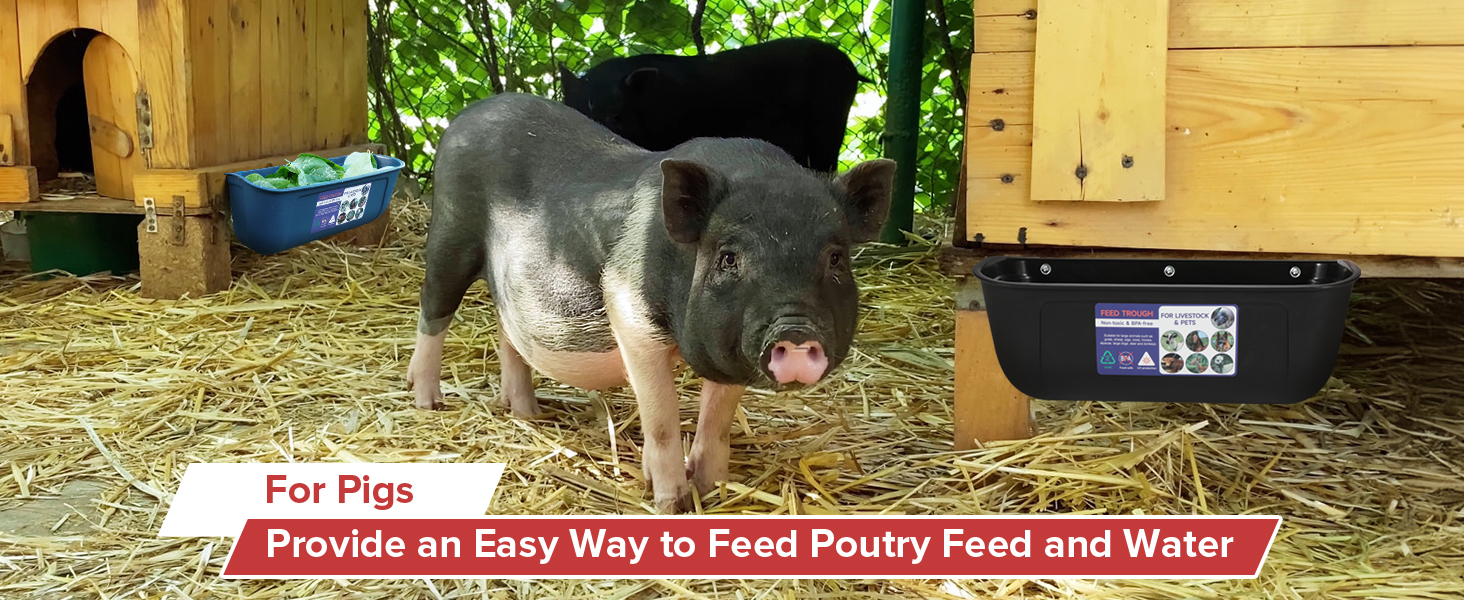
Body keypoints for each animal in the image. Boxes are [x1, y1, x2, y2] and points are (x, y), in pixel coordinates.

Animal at [406, 93, 894, 513]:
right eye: (729, 257)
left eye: (836, 258)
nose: (794, 331)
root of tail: (466, 117)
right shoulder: (628, 311)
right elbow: (661, 418)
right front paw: (671, 503)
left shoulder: (728, 348)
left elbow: (716, 419)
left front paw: (711, 489)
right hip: (450, 231)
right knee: (433, 307)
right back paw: (427, 402)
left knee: (507, 329)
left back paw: (527, 412)